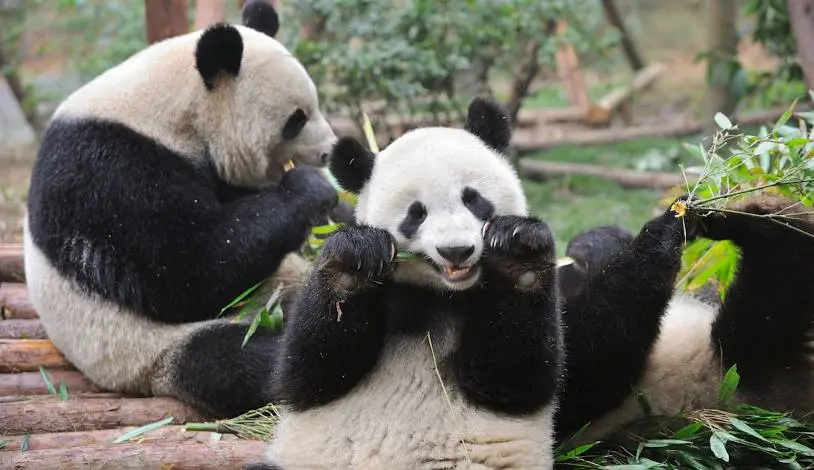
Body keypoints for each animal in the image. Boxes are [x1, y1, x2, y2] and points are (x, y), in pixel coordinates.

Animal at [23, 0, 340, 419]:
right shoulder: (109, 171)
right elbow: (187, 270)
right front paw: (310, 189)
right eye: (296, 120)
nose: (329, 151)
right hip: (148, 350)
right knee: (239, 357)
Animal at [251, 97, 566, 469]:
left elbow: (515, 375)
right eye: (416, 213)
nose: (456, 250)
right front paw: (357, 256)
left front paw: (517, 250)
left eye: (472, 198)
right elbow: (309, 373)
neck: (440, 295)